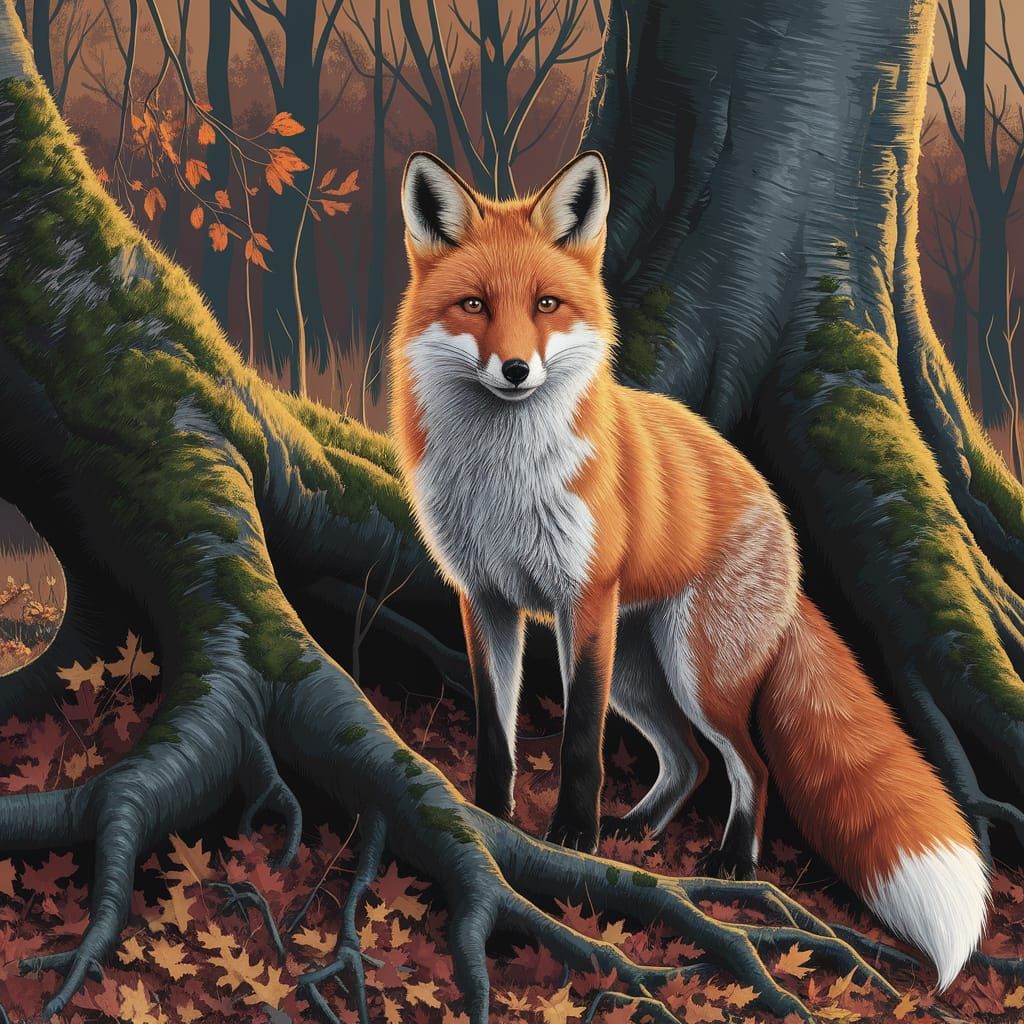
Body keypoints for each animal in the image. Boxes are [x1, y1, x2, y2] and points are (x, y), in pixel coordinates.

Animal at [388, 150, 989, 990]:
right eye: (474, 305)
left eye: (546, 304)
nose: (513, 370)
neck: (501, 478)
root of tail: (782, 525)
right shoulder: (486, 600)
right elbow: (494, 732)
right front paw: (489, 816)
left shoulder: (583, 600)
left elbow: (579, 743)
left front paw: (571, 835)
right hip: (643, 674)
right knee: (689, 761)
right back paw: (638, 831)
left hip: (692, 670)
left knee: (749, 765)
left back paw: (732, 861)